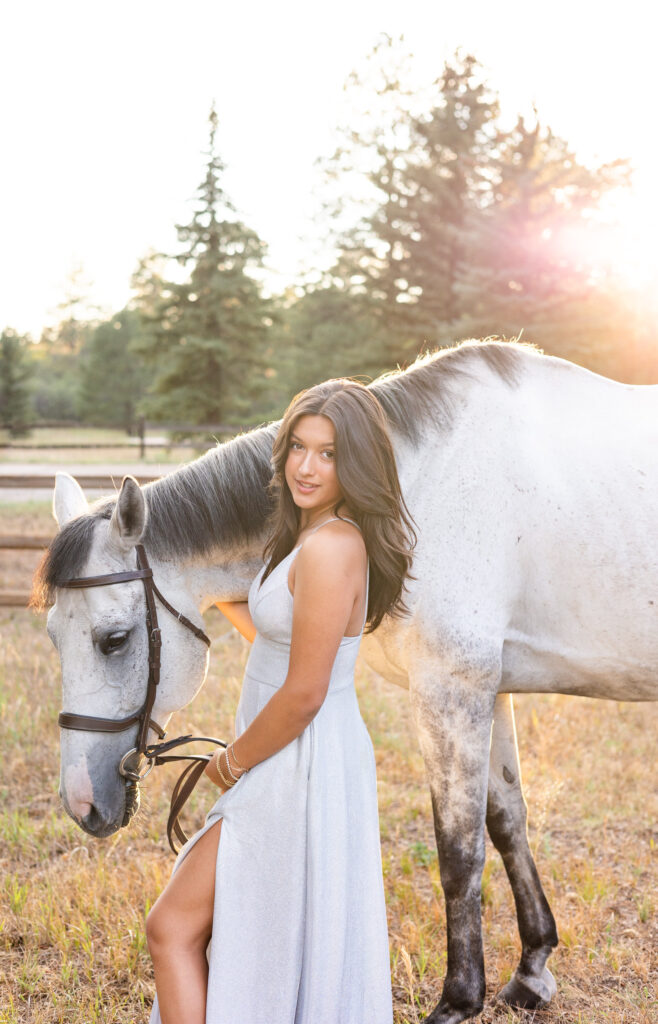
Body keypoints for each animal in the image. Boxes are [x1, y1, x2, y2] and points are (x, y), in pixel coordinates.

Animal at [39, 342, 658, 1024]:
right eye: (52, 636)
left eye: (113, 640)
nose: (82, 803)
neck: (416, 487)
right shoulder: (488, 691)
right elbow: (506, 823)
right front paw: (531, 970)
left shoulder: (450, 691)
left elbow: (459, 852)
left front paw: (458, 1000)